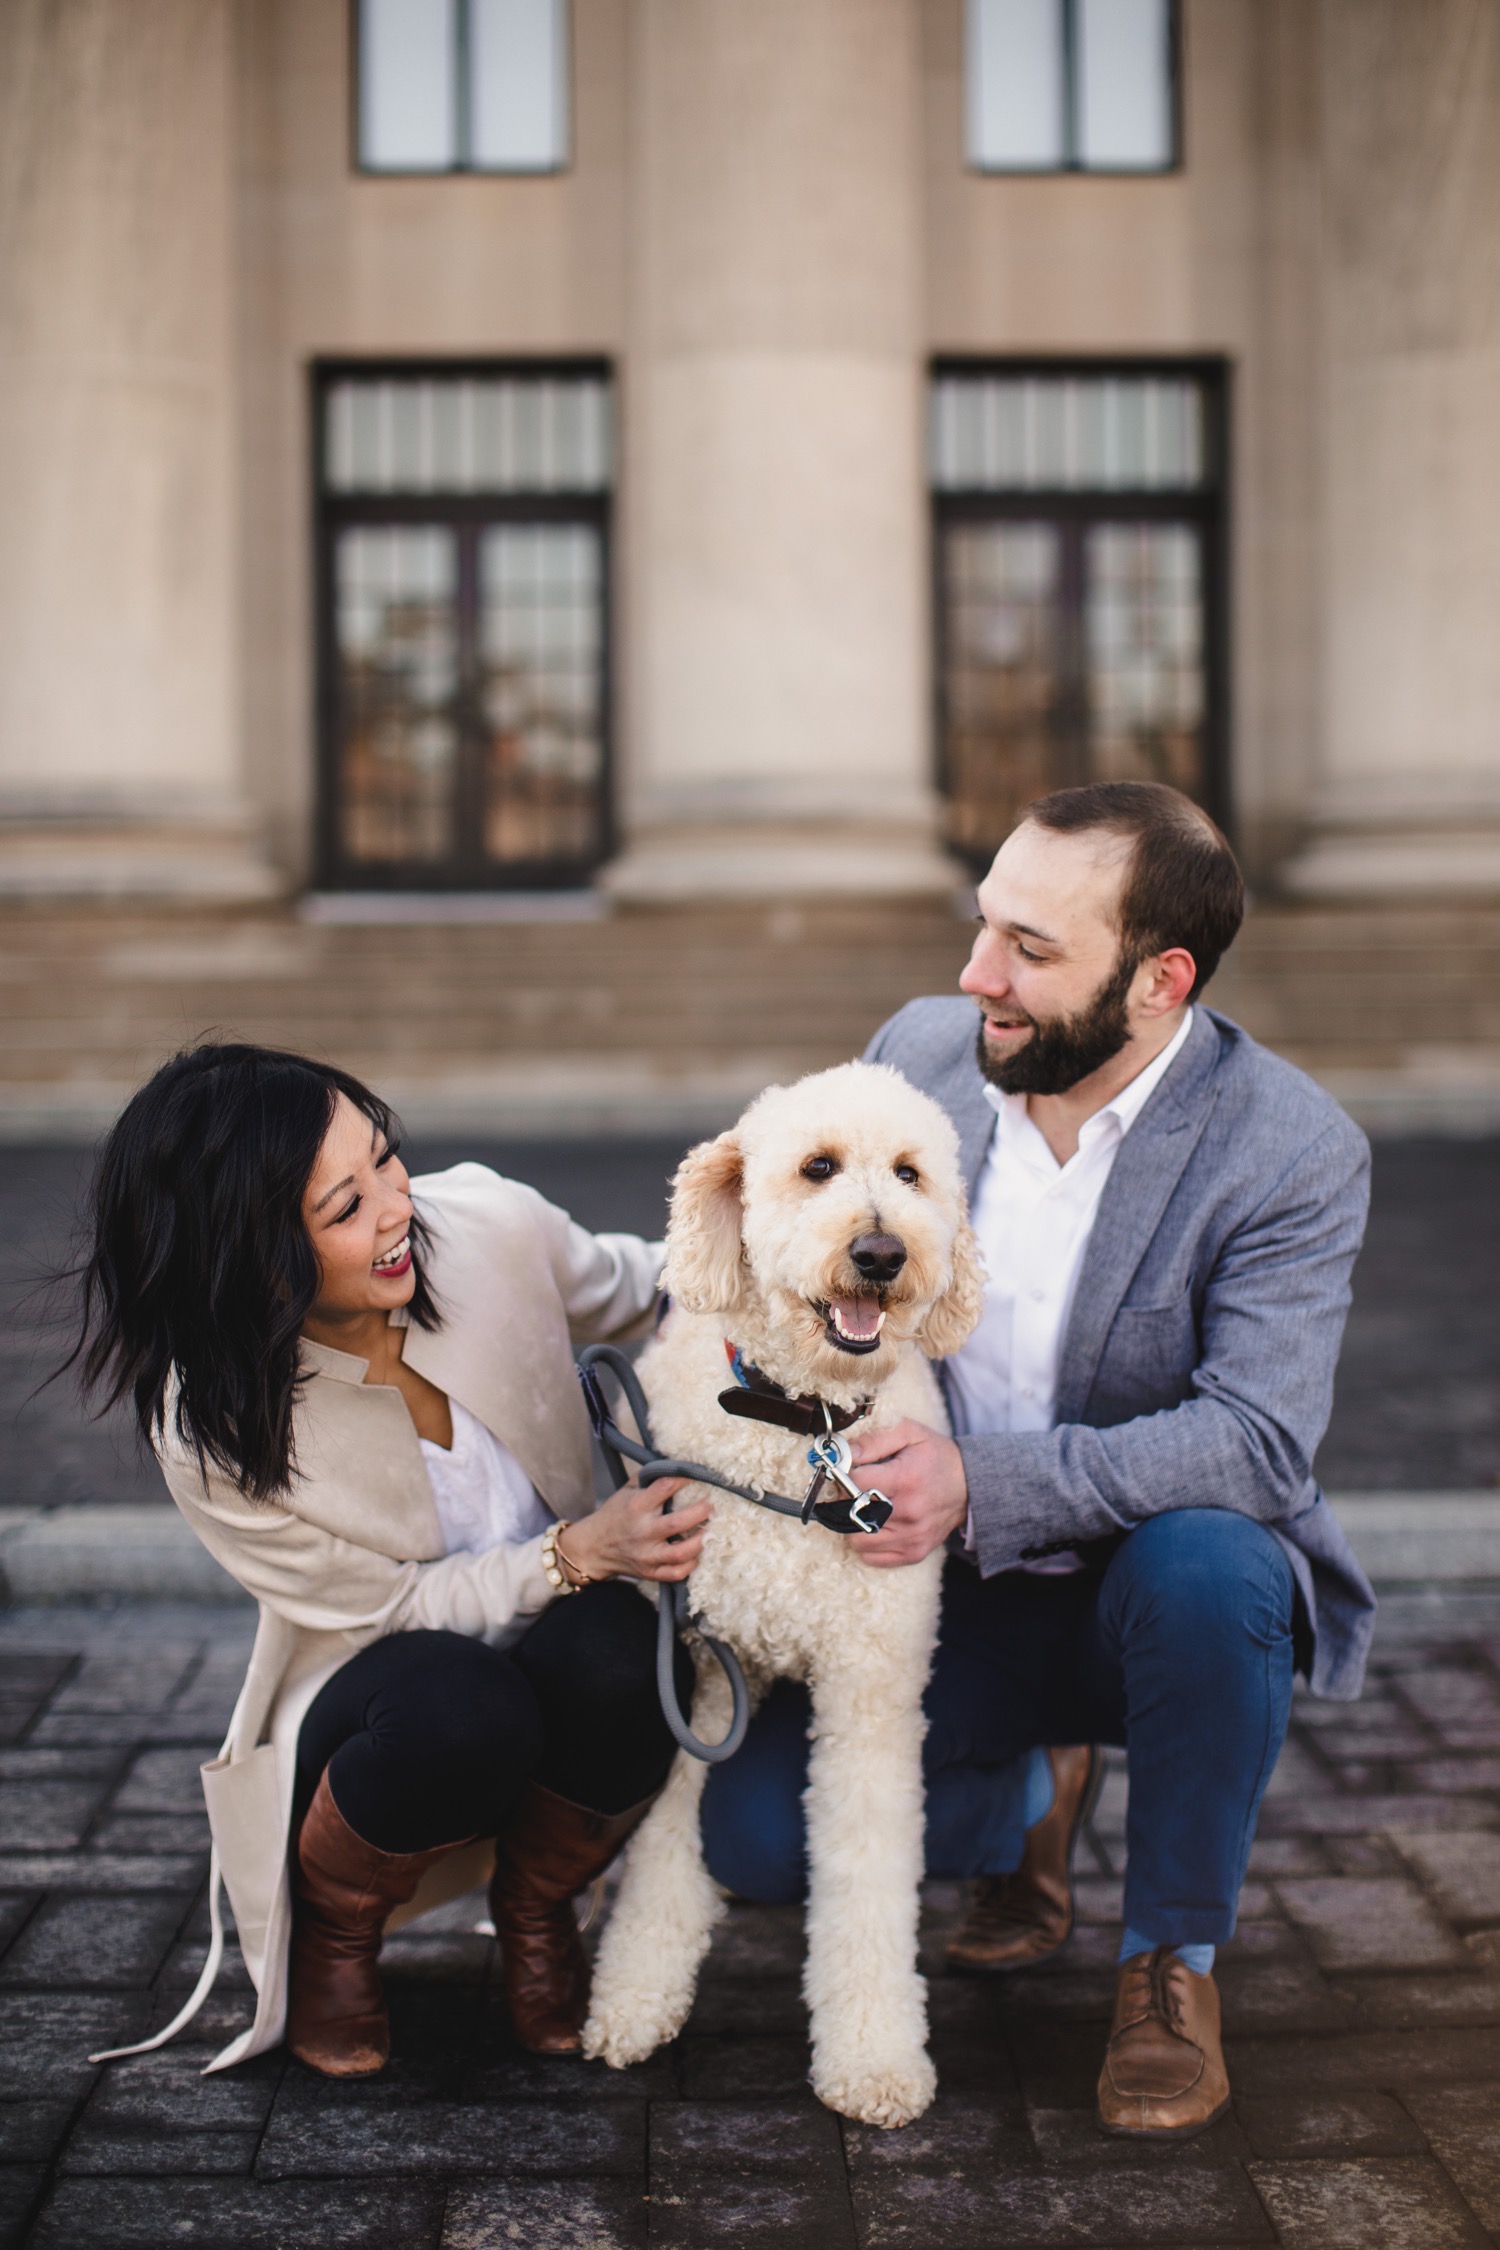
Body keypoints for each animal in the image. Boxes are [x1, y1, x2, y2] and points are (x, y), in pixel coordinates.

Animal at [584, 1062, 985, 2115]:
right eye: (818, 1168)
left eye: (910, 1172)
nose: (881, 1252)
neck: (806, 1430)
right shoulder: (694, 1671)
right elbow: (663, 1848)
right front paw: (633, 1994)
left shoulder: (872, 1694)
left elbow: (866, 1871)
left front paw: (874, 2058)